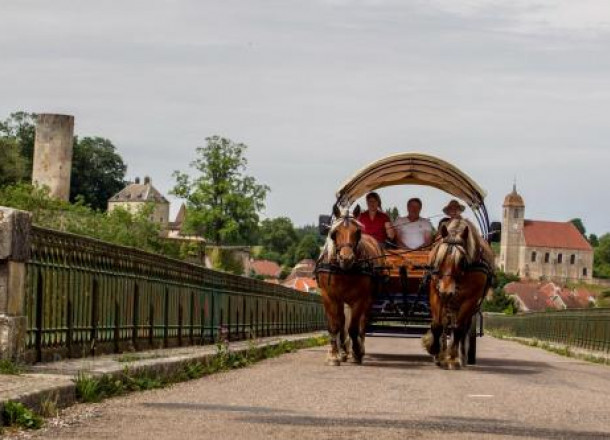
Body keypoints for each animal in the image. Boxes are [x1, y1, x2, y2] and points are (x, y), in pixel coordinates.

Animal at [316, 205, 382, 366]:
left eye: (357, 232)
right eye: (334, 233)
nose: (346, 259)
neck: (344, 271)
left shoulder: (360, 299)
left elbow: (353, 328)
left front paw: (357, 352)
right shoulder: (329, 296)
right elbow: (335, 325)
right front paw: (334, 355)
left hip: (368, 300)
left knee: (362, 324)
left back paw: (358, 348)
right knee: (342, 322)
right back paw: (344, 351)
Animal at [422, 219, 494, 368]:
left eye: (461, 261)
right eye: (440, 258)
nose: (447, 292)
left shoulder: (471, 299)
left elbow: (459, 329)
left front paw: (452, 357)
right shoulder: (436, 292)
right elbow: (437, 325)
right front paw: (434, 349)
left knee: (462, 327)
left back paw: (460, 355)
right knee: (445, 325)